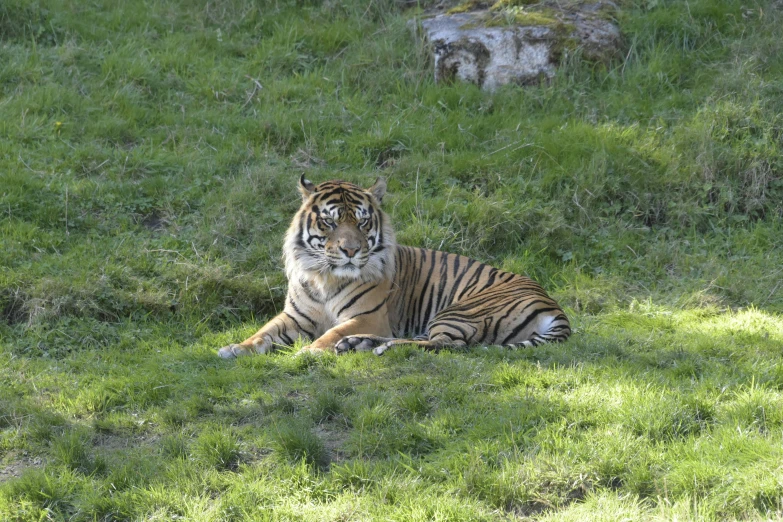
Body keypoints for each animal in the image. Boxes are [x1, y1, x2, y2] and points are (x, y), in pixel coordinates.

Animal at [217, 176, 572, 358]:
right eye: (330, 222)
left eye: (362, 223)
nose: (350, 250)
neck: (324, 277)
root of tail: (554, 306)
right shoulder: (295, 316)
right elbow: (262, 333)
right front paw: (234, 348)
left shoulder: (368, 316)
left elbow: (331, 332)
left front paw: (310, 352)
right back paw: (359, 344)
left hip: (460, 310)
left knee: (447, 344)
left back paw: (375, 347)